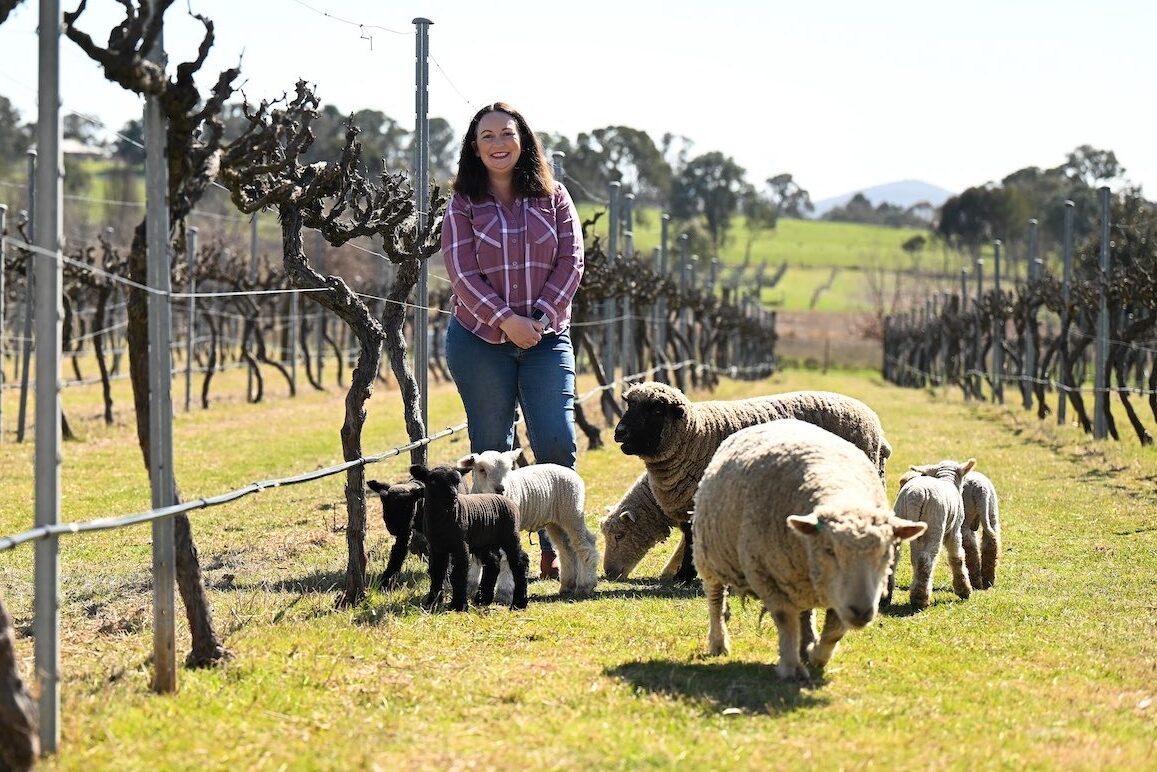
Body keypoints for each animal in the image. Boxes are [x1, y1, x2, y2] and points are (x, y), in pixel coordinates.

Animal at [409, 462, 529, 611]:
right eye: (433, 481)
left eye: (457, 482)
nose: (453, 495)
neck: (443, 519)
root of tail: (507, 499)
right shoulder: (436, 547)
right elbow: (436, 572)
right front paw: (431, 603)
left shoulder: (461, 543)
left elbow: (458, 572)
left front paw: (459, 605)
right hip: (483, 541)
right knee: (493, 562)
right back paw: (483, 599)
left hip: (510, 536)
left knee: (520, 562)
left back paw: (519, 603)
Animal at [455, 449, 601, 601]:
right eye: (482, 470)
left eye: (508, 469)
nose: (501, 489)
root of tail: (572, 474)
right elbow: (476, 557)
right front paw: (469, 588)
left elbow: (506, 558)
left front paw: (503, 593)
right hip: (555, 522)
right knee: (566, 549)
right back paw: (568, 585)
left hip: (572, 513)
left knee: (585, 545)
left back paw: (585, 585)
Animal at [610, 384, 888, 583]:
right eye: (629, 404)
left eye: (656, 409)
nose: (619, 433)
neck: (696, 435)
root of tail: (874, 421)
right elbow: (690, 539)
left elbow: (692, 542)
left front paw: (684, 576)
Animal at [689, 416, 925, 680]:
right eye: (830, 551)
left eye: (886, 554)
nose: (862, 611)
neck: (838, 492)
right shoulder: (767, 576)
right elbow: (786, 621)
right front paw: (792, 667)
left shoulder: (839, 594)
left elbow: (834, 630)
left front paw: (816, 655)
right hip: (709, 553)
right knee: (715, 598)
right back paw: (718, 643)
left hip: (797, 574)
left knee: (805, 611)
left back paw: (807, 643)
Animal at [893, 458, 976, 611]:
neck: (946, 479)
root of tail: (917, 495)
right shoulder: (955, 529)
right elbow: (957, 557)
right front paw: (964, 590)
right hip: (934, 524)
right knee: (925, 560)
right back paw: (920, 599)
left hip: (899, 518)